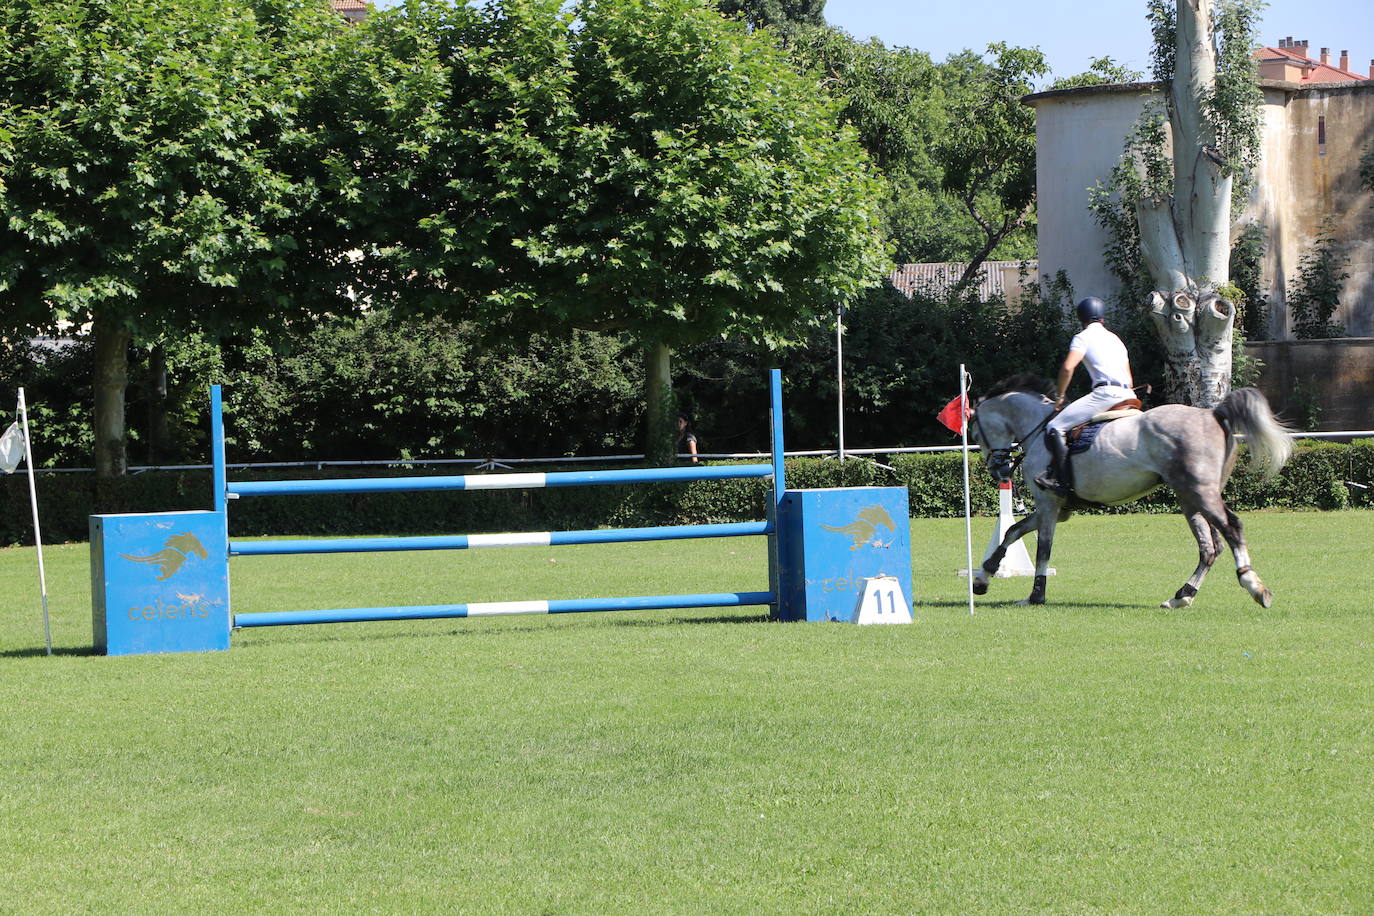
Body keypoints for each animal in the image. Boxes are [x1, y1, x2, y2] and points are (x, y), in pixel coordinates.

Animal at [961, 376, 1291, 612]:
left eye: (976, 434)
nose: (999, 472)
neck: (1039, 430)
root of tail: (1214, 413)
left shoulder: (1049, 504)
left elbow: (1043, 548)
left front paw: (1035, 595)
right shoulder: (1055, 509)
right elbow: (1012, 531)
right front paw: (982, 577)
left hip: (1200, 493)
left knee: (1232, 528)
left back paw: (1253, 585)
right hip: (1190, 498)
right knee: (1210, 547)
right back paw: (1181, 597)